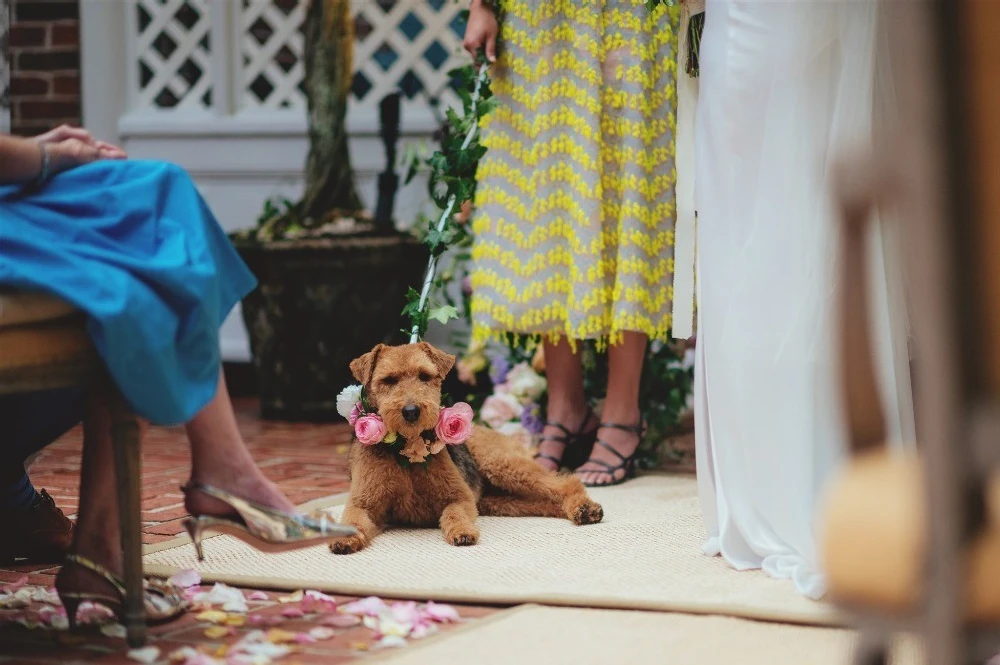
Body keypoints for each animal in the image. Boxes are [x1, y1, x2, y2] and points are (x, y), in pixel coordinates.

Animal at [332, 340, 604, 552]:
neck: (407, 449)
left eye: (424, 376)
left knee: (566, 482)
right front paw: (342, 541)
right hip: (501, 500)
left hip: (504, 466)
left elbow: (454, 513)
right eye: (388, 380)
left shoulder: (459, 497)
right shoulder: (362, 504)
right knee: (546, 501)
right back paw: (580, 511)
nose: (411, 411)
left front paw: (463, 533)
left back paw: (585, 507)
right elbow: (351, 521)